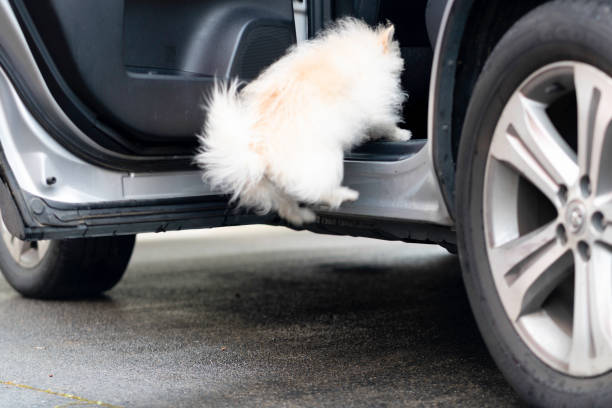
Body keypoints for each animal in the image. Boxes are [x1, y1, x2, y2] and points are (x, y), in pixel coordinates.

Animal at [196, 17, 408, 225]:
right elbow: (386, 124)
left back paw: (301, 216)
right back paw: (343, 195)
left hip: (272, 184)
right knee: (319, 191)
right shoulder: (376, 107)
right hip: (325, 161)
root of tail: (256, 150)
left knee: (285, 203)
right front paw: (402, 134)